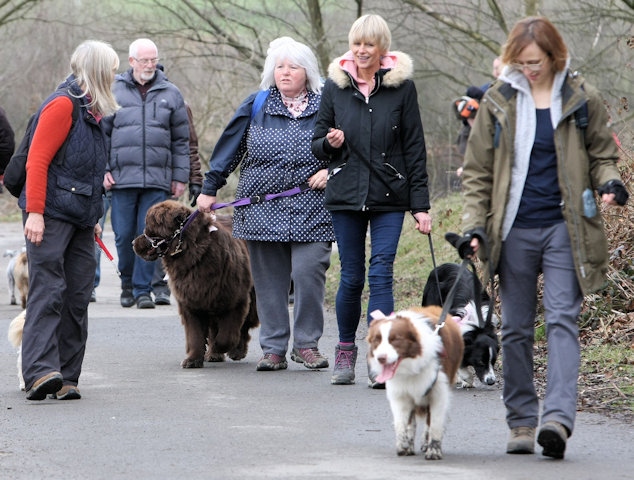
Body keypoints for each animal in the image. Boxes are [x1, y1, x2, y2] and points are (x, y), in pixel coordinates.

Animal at [132, 199, 258, 368]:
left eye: (151, 230)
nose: (133, 242)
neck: (193, 253)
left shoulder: (235, 300)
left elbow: (227, 335)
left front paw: (219, 347)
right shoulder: (192, 300)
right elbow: (195, 335)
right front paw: (193, 359)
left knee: (243, 326)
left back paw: (235, 351)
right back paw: (215, 355)